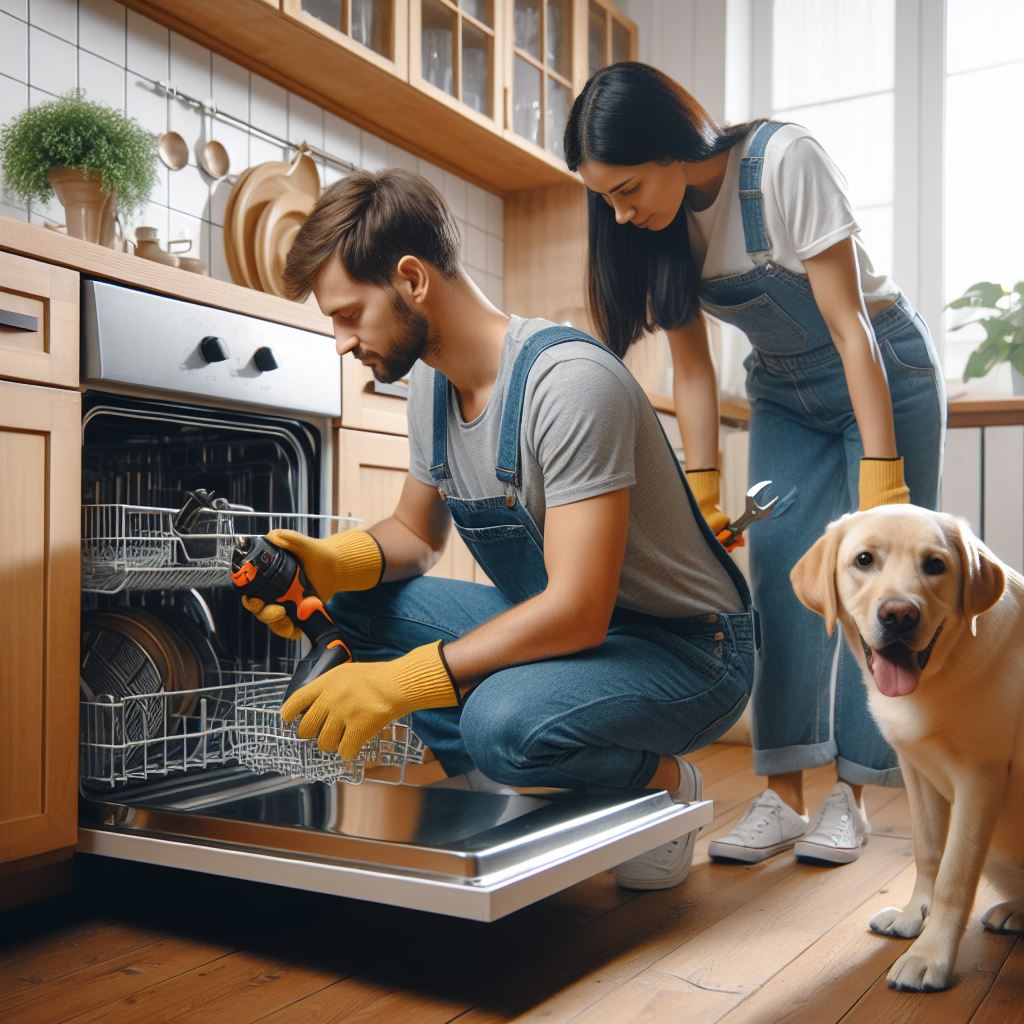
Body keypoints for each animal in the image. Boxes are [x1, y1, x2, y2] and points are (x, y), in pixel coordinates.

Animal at [790, 509, 1024, 991]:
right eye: (863, 560)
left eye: (935, 565)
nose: (899, 615)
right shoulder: (916, 770)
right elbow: (928, 851)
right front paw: (913, 917)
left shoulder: (981, 776)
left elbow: (955, 873)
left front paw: (929, 956)